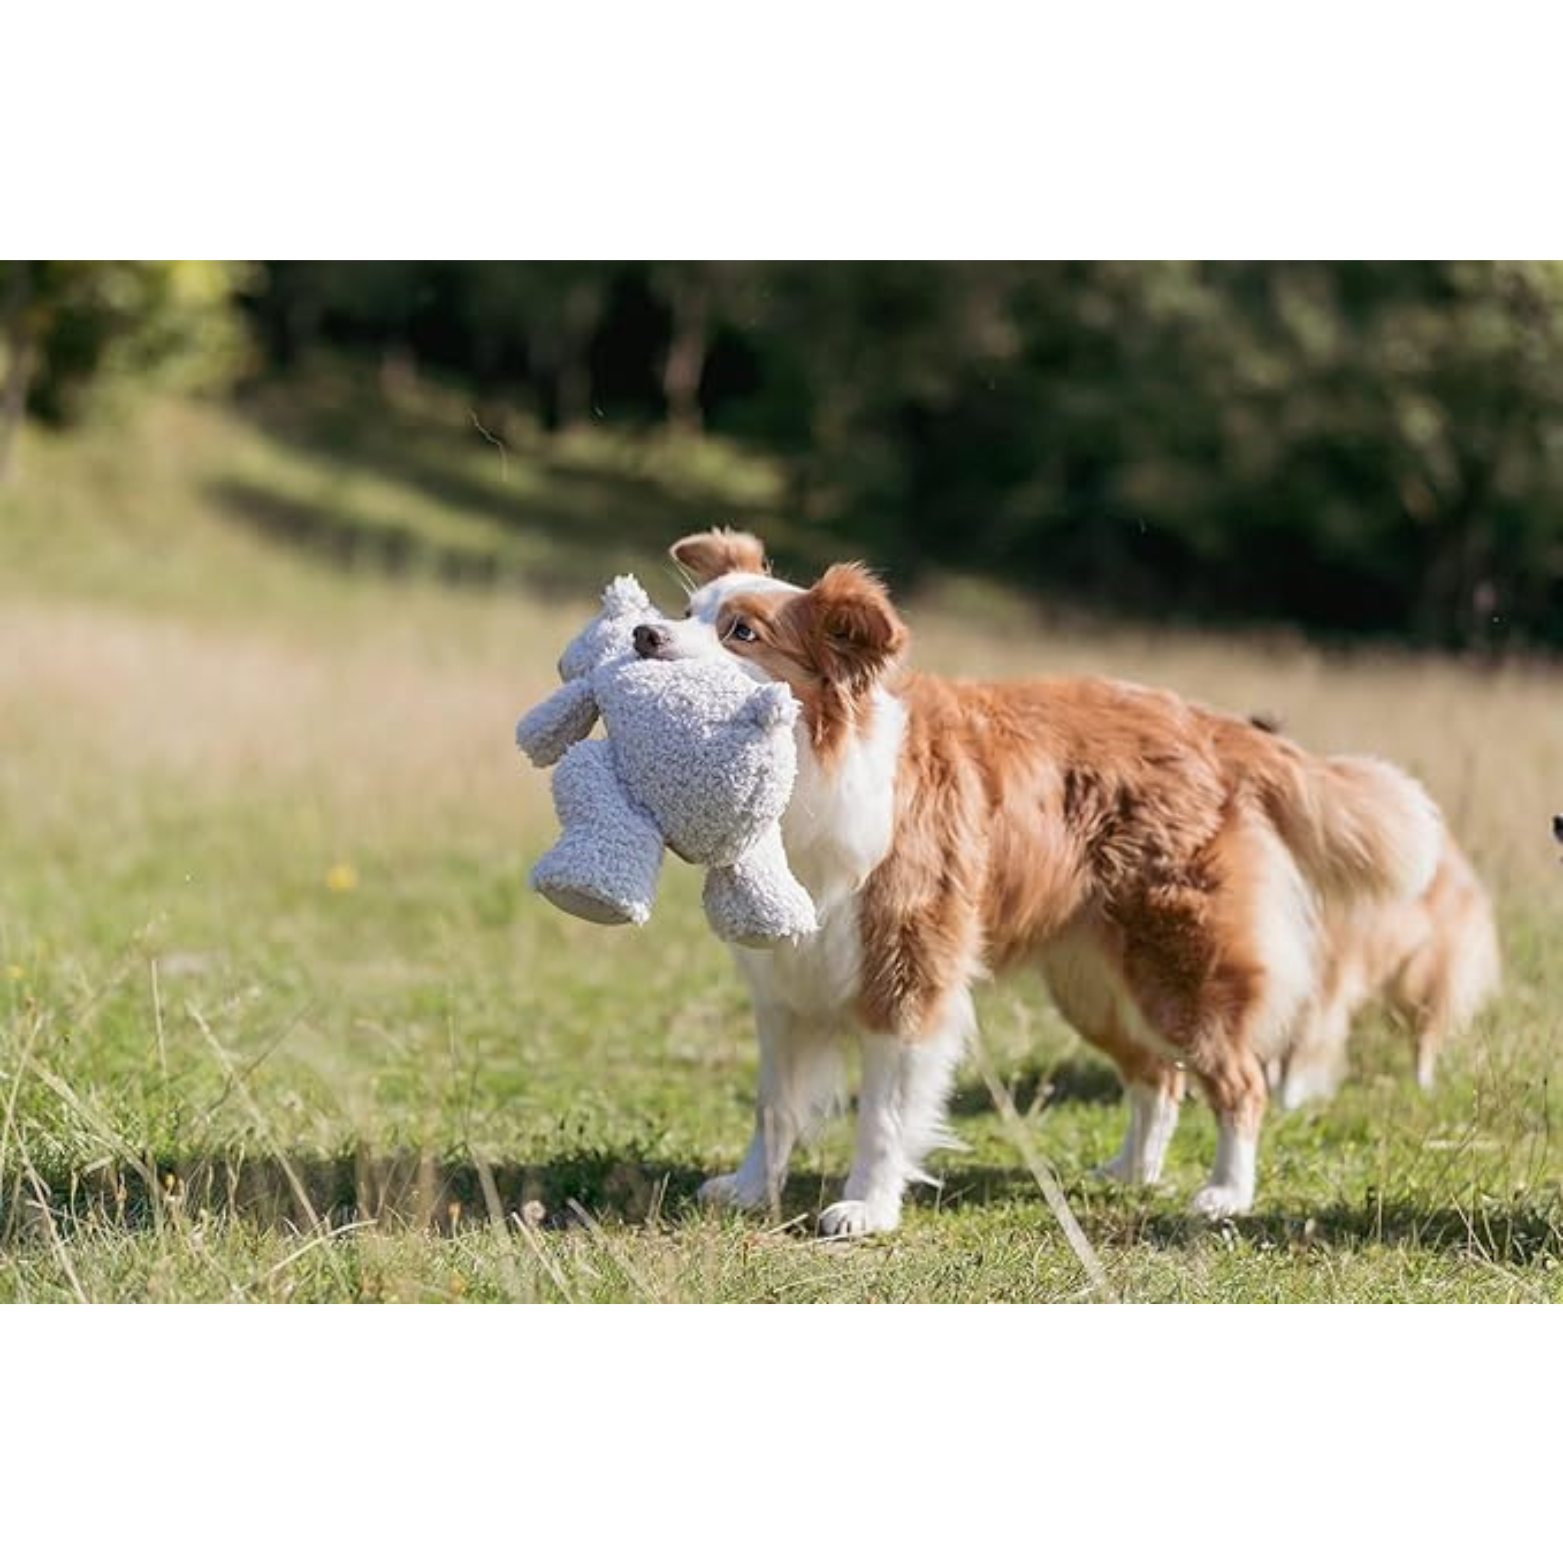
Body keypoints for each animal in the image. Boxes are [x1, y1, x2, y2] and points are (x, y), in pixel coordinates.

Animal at [647, 534, 1437, 1231]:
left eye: (742, 632)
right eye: (688, 611)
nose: (644, 635)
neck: (815, 763)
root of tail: (1209, 725)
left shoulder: (908, 975)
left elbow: (885, 1113)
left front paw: (866, 1208)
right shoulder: (785, 983)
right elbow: (773, 1102)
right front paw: (750, 1189)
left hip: (1181, 966)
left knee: (1238, 1080)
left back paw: (1225, 1195)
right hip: (1093, 982)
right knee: (1159, 1074)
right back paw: (1131, 1172)